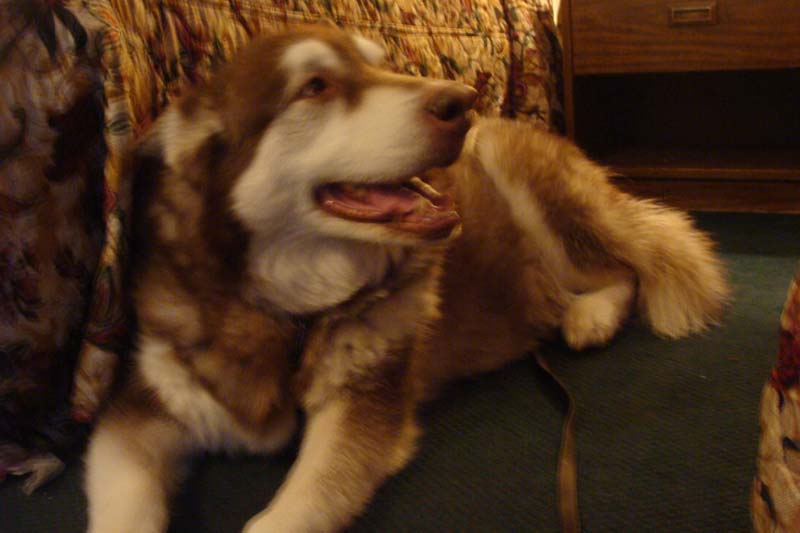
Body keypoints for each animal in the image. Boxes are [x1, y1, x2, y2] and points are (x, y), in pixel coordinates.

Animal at [83, 25, 732, 532]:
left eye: (382, 64)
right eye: (315, 86)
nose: (463, 100)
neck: (290, 313)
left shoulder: (365, 403)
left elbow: (289, 513)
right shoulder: (142, 408)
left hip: (524, 181)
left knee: (623, 268)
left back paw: (589, 314)